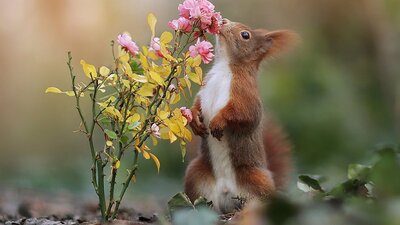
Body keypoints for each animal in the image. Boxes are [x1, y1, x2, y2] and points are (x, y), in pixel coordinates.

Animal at [184, 18, 296, 214]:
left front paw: (218, 121)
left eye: (245, 35)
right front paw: (195, 121)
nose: (222, 20)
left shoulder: (245, 94)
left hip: (258, 182)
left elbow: (242, 113)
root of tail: (227, 194)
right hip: (195, 176)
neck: (224, 68)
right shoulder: (205, 88)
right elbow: (197, 104)